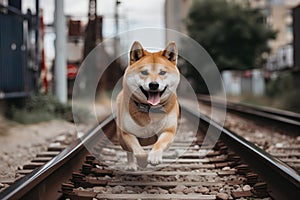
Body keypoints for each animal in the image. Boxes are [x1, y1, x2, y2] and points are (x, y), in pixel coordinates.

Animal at [116, 41, 179, 170]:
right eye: (144, 72)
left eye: (162, 72)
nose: (154, 85)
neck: (151, 109)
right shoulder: (127, 133)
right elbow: (138, 152)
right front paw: (142, 162)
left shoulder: (168, 131)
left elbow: (159, 143)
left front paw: (154, 157)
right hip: (121, 137)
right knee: (129, 151)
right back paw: (131, 165)